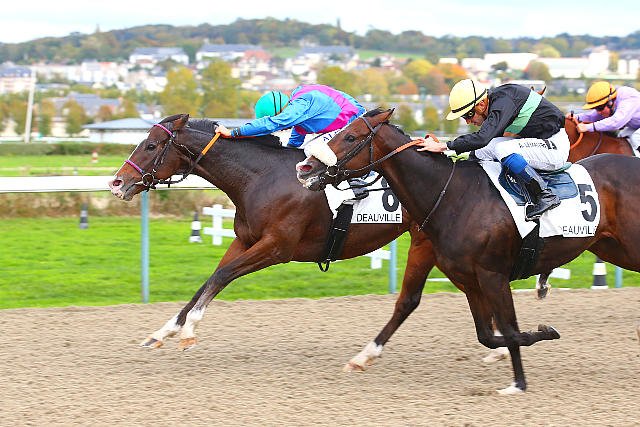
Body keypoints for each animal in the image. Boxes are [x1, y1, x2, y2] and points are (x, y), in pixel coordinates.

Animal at [108, 113, 440, 372]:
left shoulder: (277, 248)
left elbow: (222, 275)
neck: (260, 178)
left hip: (426, 241)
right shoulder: (244, 241)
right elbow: (208, 281)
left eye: (151, 145)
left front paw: (189, 331)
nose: (116, 182)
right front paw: (163, 332)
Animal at [295, 108, 640, 394]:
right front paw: (537, 336)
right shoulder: (469, 281)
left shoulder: (493, 275)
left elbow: (509, 329)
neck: (453, 195)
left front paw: (519, 382)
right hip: (613, 247)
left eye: (350, 137)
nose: (305, 167)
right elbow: (487, 334)